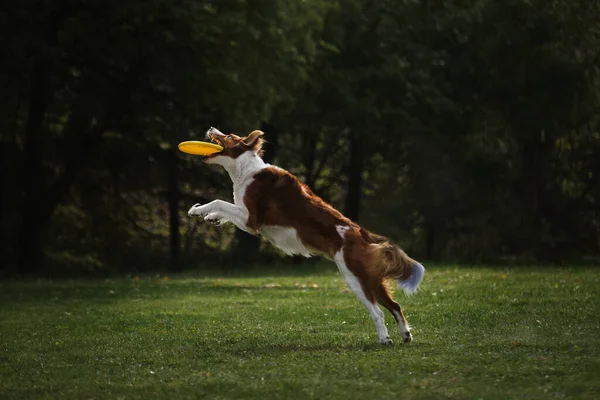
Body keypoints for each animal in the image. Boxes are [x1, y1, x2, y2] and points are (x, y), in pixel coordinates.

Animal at [186, 127, 422, 344]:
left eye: (228, 135)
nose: (211, 128)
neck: (244, 168)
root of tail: (360, 232)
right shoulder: (245, 219)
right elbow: (222, 208)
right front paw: (211, 217)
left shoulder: (250, 219)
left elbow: (219, 201)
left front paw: (198, 209)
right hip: (371, 277)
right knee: (395, 306)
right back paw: (405, 335)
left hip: (355, 278)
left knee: (378, 312)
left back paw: (385, 339)